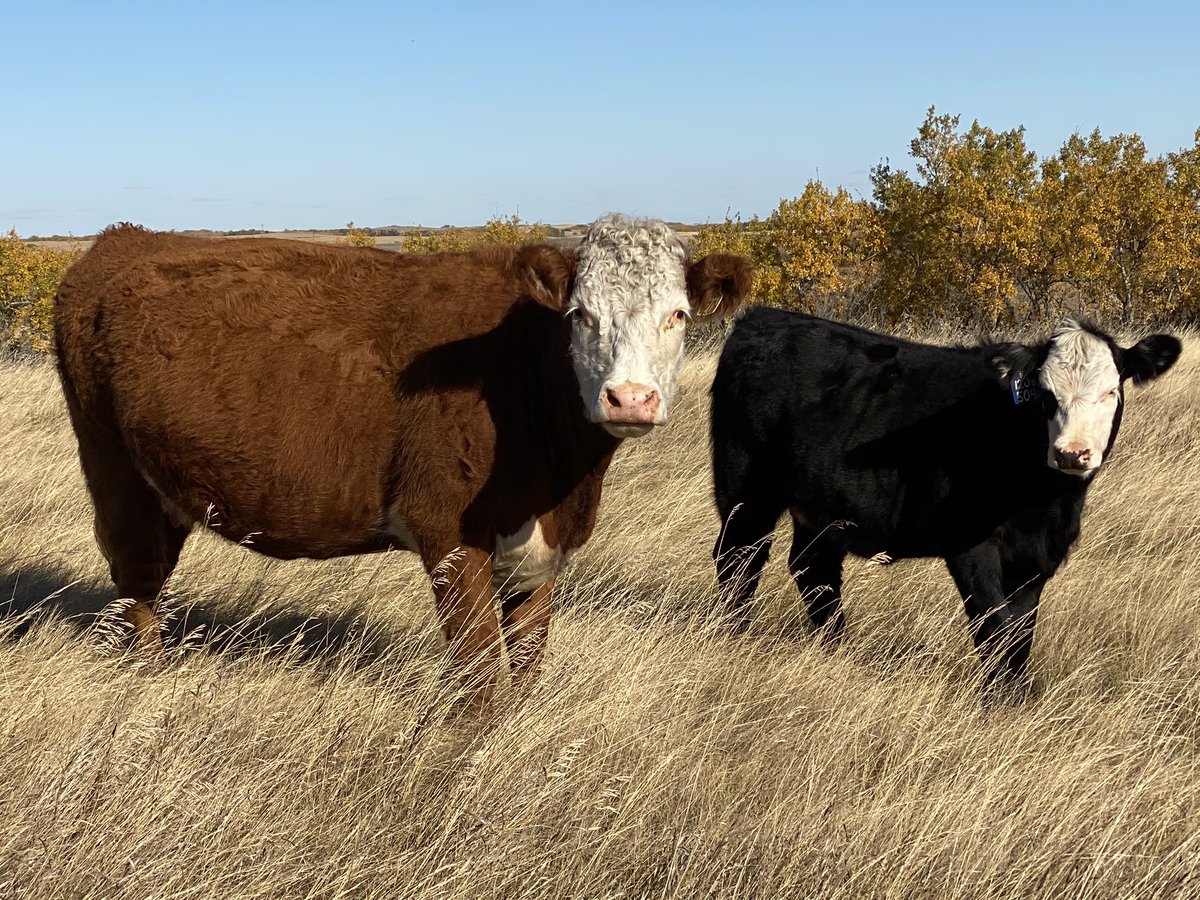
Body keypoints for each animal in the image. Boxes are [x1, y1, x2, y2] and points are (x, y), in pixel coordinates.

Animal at [53, 215, 752, 704]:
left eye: (678, 314)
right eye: (580, 315)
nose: (629, 398)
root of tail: (123, 240)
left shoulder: (538, 550)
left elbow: (526, 672)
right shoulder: (449, 532)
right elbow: (480, 679)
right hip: (114, 472)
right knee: (137, 583)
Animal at [710, 308, 1180, 692]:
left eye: (1111, 392)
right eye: (1045, 396)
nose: (1071, 452)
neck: (1044, 502)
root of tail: (761, 318)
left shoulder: (1037, 556)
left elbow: (1020, 631)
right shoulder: (970, 544)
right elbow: (995, 625)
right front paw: (997, 703)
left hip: (822, 509)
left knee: (812, 567)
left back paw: (835, 647)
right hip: (747, 492)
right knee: (739, 558)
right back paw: (735, 634)